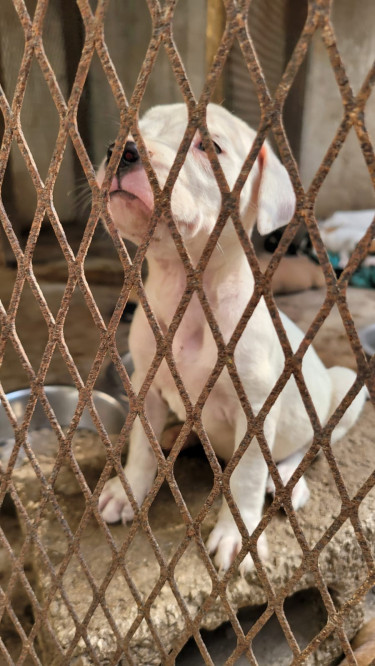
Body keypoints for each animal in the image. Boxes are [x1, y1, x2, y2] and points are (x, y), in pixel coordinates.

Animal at [96, 102, 368, 572]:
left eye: (209, 146)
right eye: (135, 129)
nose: (121, 150)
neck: (186, 294)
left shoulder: (256, 412)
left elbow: (246, 478)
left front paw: (235, 537)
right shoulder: (147, 389)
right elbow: (142, 446)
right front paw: (128, 490)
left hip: (345, 386)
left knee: (308, 450)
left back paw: (287, 483)